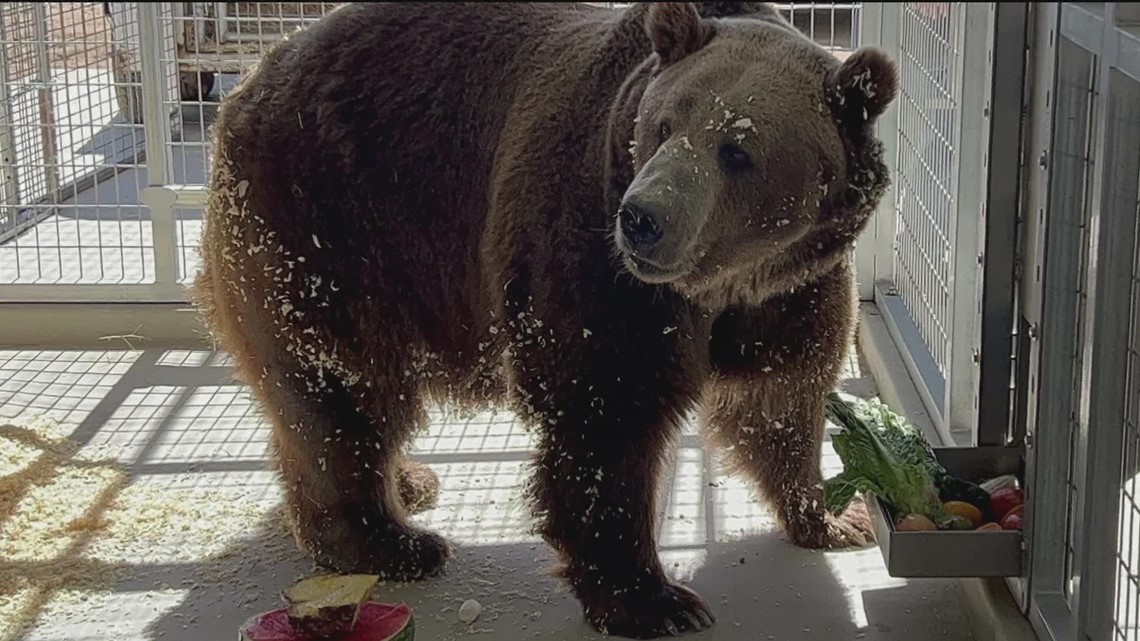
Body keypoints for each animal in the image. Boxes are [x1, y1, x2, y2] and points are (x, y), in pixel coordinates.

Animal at [191, 2, 893, 634]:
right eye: (663, 126)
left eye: (737, 149)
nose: (643, 218)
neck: (721, 286)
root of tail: (256, 75)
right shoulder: (594, 254)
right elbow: (606, 417)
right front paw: (652, 599)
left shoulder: (793, 288)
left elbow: (782, 400)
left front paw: (838, 516)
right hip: (333, 225)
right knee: (344, 384)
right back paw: (392, 539)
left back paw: (408, 484)